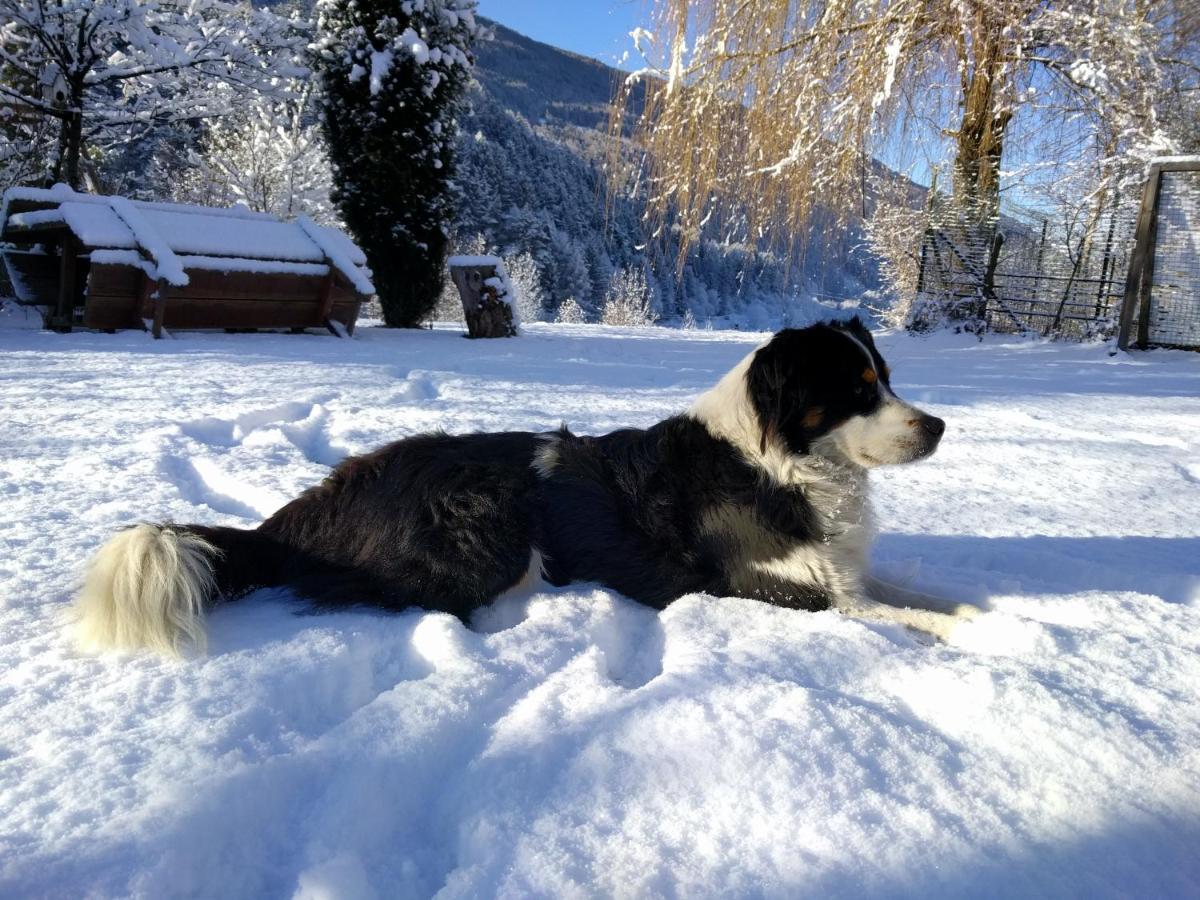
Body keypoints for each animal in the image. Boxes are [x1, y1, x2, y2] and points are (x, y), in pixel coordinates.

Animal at [75, 316, 969, 657]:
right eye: (856, 388)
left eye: (887, 376)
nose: (937, 426)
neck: (780, 459)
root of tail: (320, 500)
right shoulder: (773, 586)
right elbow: (907, 621)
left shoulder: (842, 573)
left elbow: (927, 602)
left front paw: (980, 616)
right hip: (482, 515)